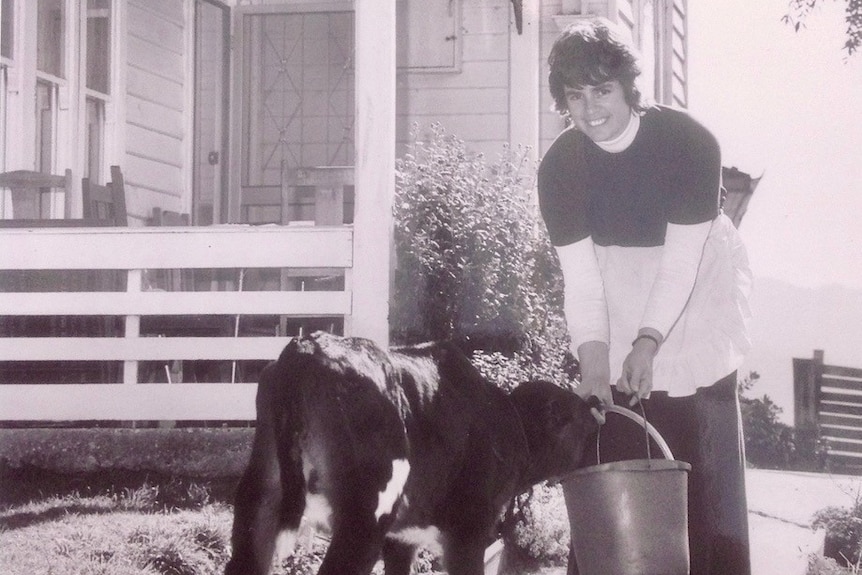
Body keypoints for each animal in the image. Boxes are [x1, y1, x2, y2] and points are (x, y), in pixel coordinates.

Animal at [224, 330, 600, 575]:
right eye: (579, 417)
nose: (597, 405)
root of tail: (306, 347)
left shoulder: (401, 538)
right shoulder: (468, 530)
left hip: (260, 500)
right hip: (365, 517)